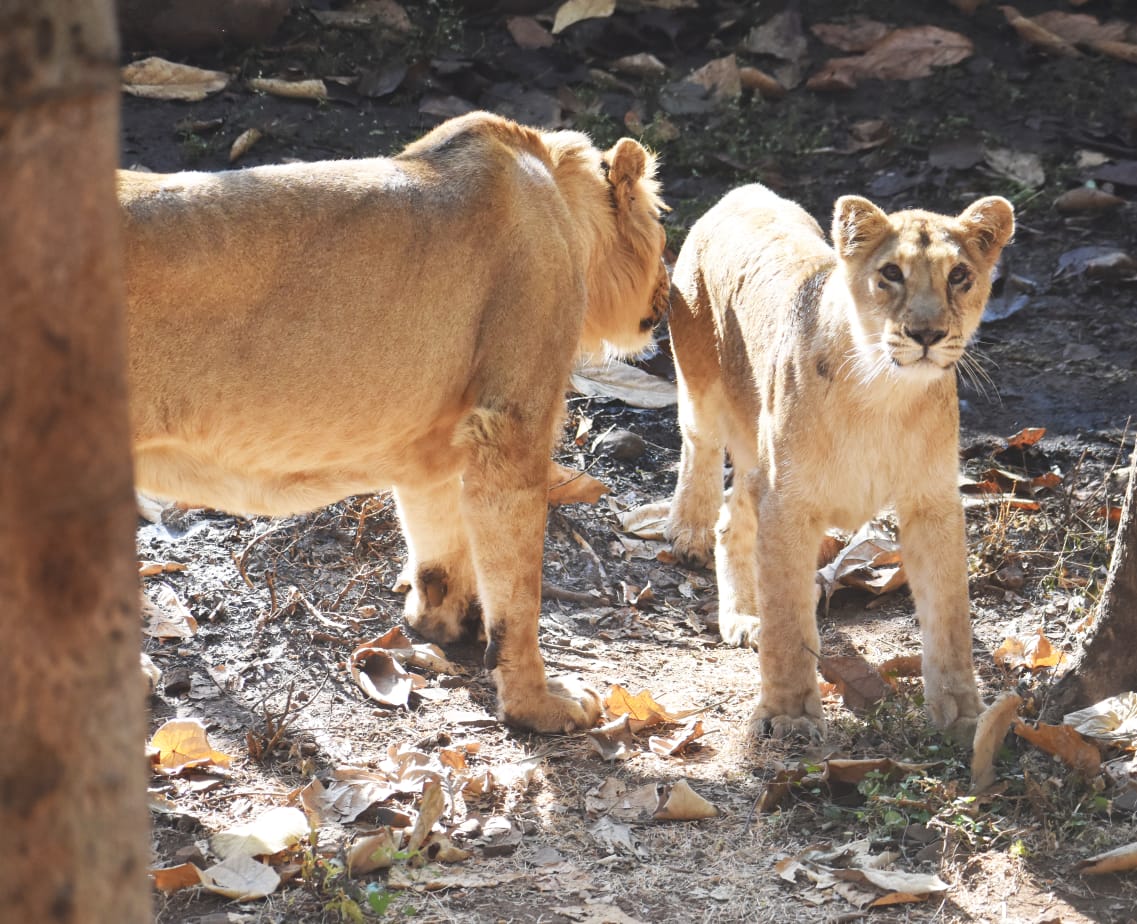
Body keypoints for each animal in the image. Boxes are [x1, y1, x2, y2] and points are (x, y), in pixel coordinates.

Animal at [117, 113, 664, 736]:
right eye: (663, 230)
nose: (670, 289)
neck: (554, 188)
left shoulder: (433, 446)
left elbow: (438, 544)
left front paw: (445, 625)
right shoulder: (511, 427)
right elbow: (519, 592)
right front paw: (539, 703)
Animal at [664, 184, 1014, 741]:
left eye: (959, 275)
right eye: (890, 272)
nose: (927, 334)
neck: (882, 394)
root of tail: (743, 191)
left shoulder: (931, 502)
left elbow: (950, 610)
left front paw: (963, 713)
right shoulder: (788, 500)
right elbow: (787, 615)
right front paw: (789, 713)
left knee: (734, 513)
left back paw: (744, 614)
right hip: (700, 384)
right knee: (699, 450)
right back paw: (690, 535)